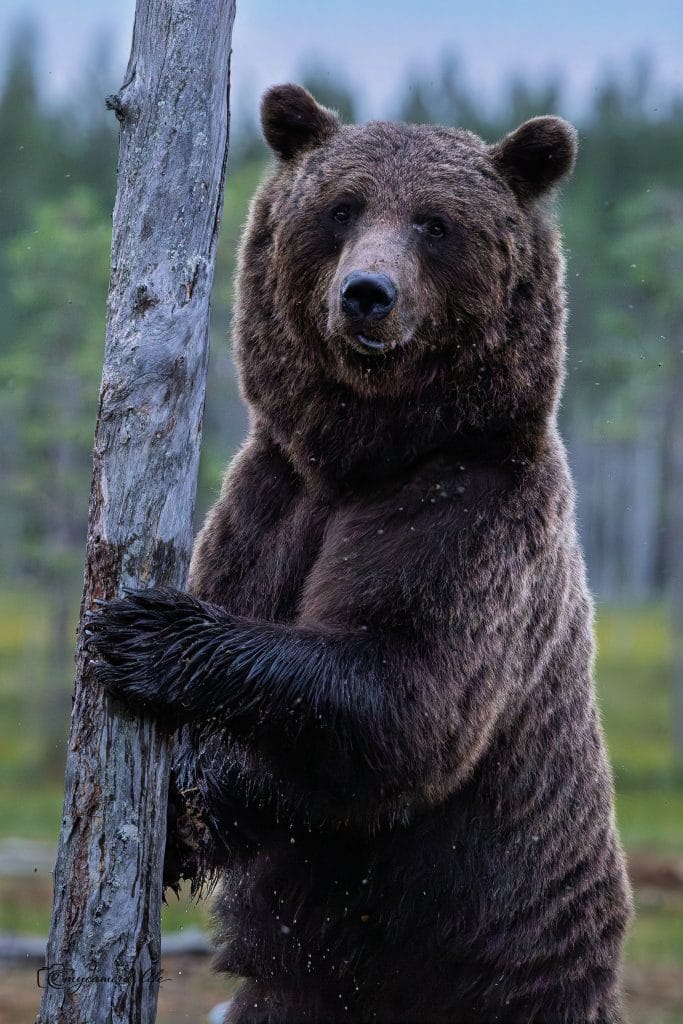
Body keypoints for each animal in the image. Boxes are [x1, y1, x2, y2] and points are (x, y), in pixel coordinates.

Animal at [87, 84, 633, 1023]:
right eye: (341, 209)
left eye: (434, 223)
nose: (366, 294)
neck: (367, 453)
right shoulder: (270, 500)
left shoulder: (472, 511)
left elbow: (403, 693)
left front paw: (146, 635)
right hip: (296, 994)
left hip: (511, 960)